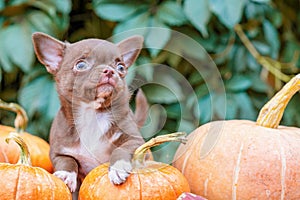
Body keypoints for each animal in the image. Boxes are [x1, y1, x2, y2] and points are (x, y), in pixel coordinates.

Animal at [31, 32, 148, 192]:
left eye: (121, 67)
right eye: (80, 65)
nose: (110, 70)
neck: (92, 115)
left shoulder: (135, 140)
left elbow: (121, 149)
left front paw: (117, 169)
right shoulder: (58, 152)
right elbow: (67, 160)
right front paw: (66, 175)